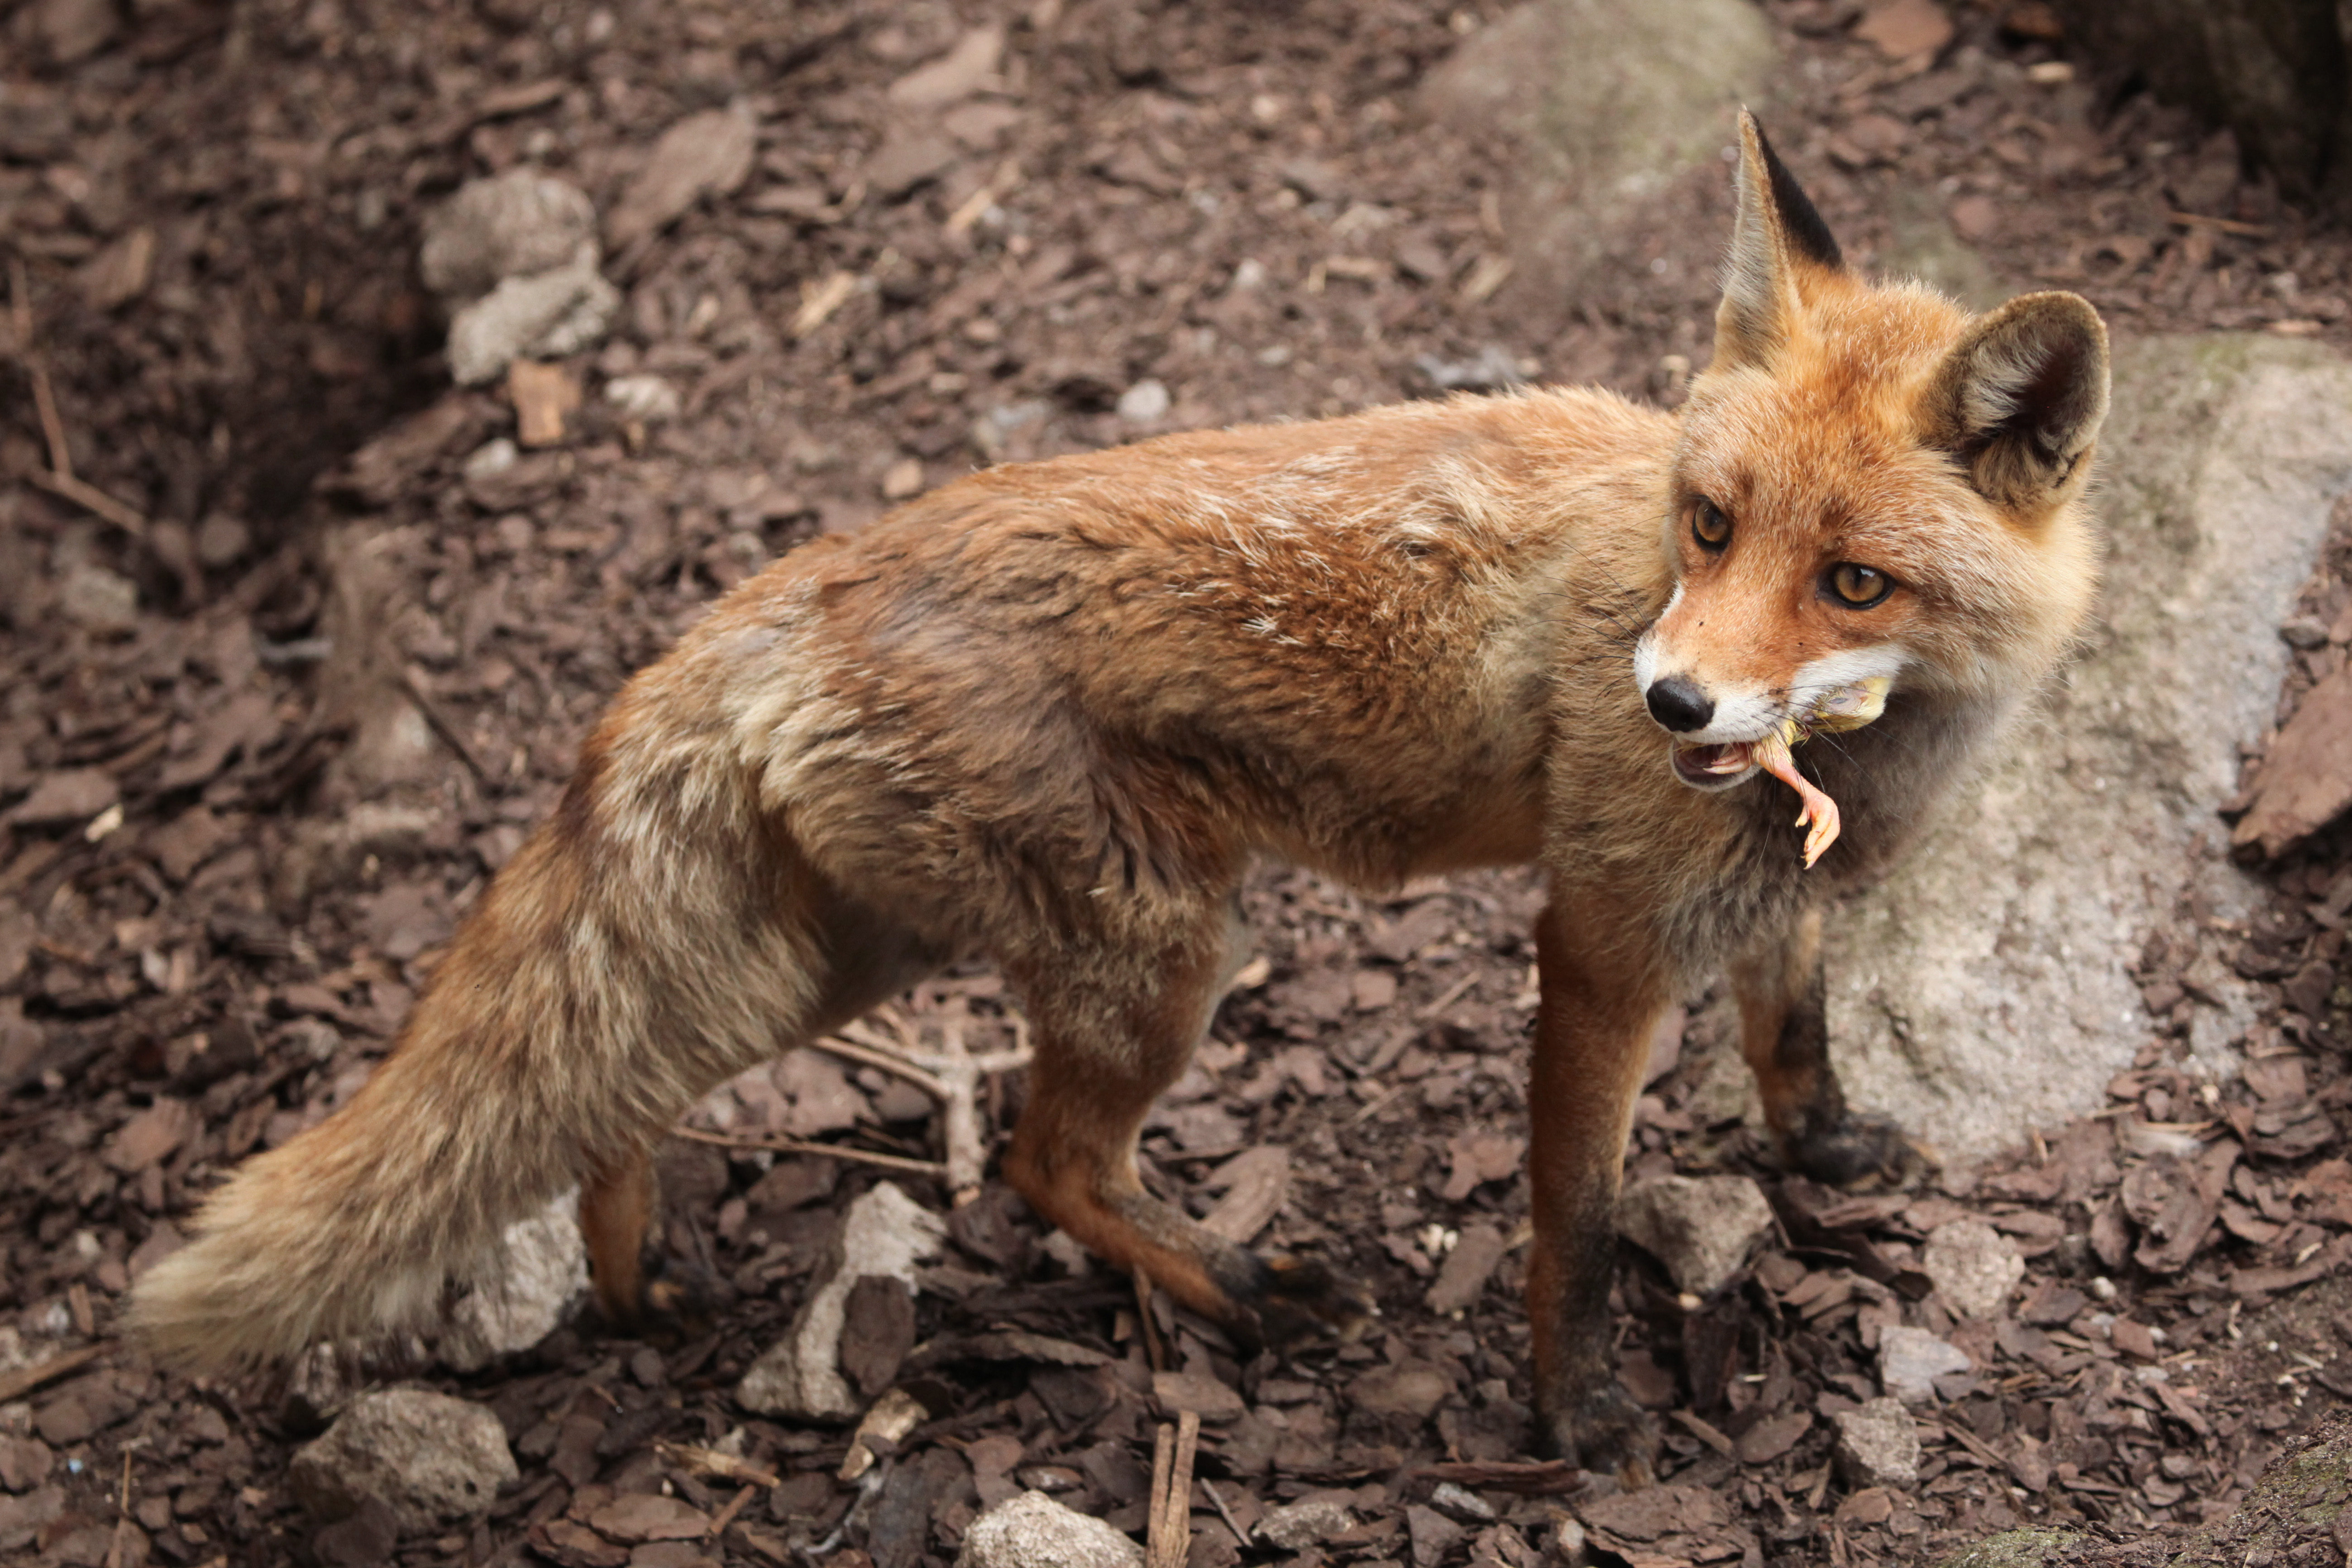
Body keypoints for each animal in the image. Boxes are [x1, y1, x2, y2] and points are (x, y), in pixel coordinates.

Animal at [133, 116, 2117, 1476]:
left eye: (1850, 580)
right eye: (1707, 526)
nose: (1670, 696)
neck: (1846, 766)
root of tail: (793, 578)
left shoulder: (1776, 905)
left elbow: (1796, 1032)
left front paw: (1825, 1151)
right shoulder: (1605, 946)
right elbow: (1572, 1218)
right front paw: (1577, 1412)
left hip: (851, 948)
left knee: (619, 1089)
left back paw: (628, 1286)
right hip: (1153, 951)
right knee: (1036, 1159)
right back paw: (1229, 1287)